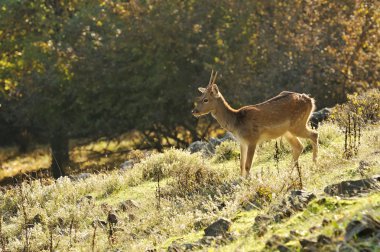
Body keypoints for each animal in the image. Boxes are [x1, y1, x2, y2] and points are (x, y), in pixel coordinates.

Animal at [191, 71, 320, 181]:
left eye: (206, 99)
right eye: (199, 98)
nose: (194, 111)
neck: (236, 123)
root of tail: (311, 100)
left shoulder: (253, 139)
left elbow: (248, 165)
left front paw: (249, 181)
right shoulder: (242, 142)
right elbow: (241, 164)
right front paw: (241, 180)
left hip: (298, 124)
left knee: (314, 134)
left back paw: (314, 164)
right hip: (288, 131)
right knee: (299, 146)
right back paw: (288, 173)